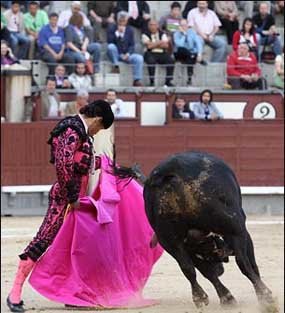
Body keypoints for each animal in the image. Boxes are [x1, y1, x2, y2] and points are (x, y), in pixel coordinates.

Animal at [139, 150, 276, 308]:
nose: (221, 270)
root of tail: (169, 171)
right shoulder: (243, 232)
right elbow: (251, 263)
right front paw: (263, 296)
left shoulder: (190, 248)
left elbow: (205, 272)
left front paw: (226, 298)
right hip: (234, 227)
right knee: (242, 262)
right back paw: (266, 297)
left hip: (167, 238)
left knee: (187, 268)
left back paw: (200, 297)